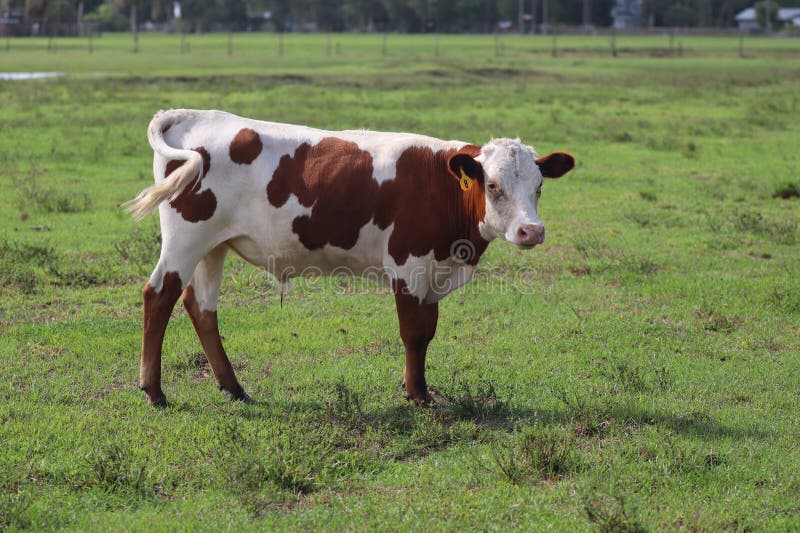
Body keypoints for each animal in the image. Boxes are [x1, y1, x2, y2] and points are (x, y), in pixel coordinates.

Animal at [126, 109, 576, 408]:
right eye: (493, 185)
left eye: (539, 186)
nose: (532, 231)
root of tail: (194, 115)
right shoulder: (409, 266)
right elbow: (414, 333)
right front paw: (417, 395)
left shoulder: (433, 271)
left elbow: (428, 331)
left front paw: (420, 390)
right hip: (186, 239)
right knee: (159, 295)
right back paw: (155, 391)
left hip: (213, 246)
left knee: (200, 306)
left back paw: (234, 388)